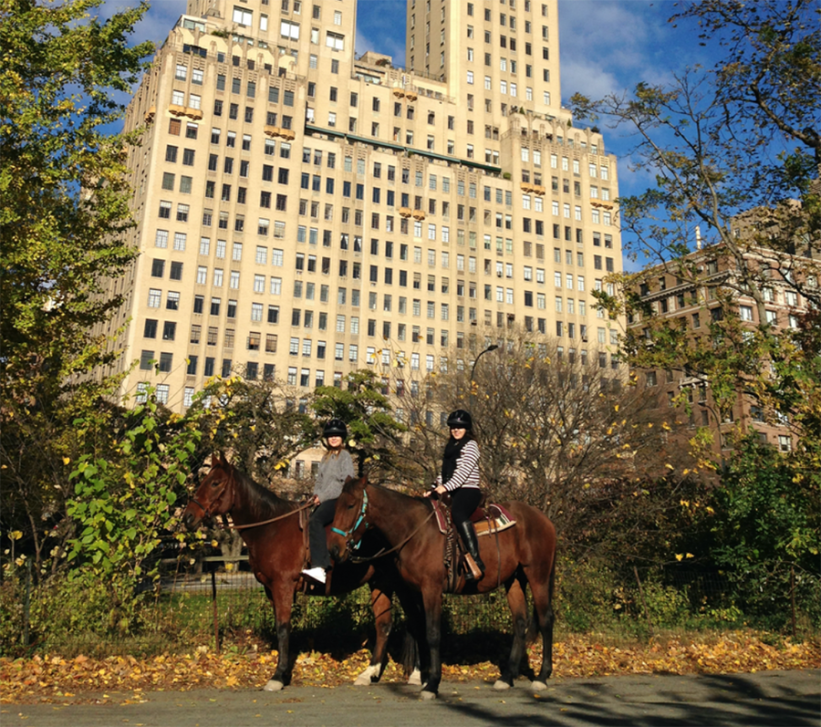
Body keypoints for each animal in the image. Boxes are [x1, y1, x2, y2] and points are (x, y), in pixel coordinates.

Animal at [181, 458, 422, 692]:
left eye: (215, 483)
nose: (188, 517)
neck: (271, 528)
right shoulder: (271, 590)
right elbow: (281, 627)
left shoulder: (283, 587)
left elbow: (283, 629)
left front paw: (278, 676)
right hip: (380, 583)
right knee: (384, 626)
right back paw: (369, 674)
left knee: (416, 622)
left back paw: (417, 675)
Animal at [330, 478, 556, 700]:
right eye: (337, 505)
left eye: (351, 505)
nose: (334, 549)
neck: (415, 531)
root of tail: (544, 519)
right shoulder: (414, 591)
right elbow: (419, 628)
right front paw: (421, 678)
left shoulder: (431, 588)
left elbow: (432, 633)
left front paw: (432, 684)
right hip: (514, 580)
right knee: (520, 622)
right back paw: (507, 678)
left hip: (537, 576)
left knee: (545, 620)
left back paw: (542, 677)